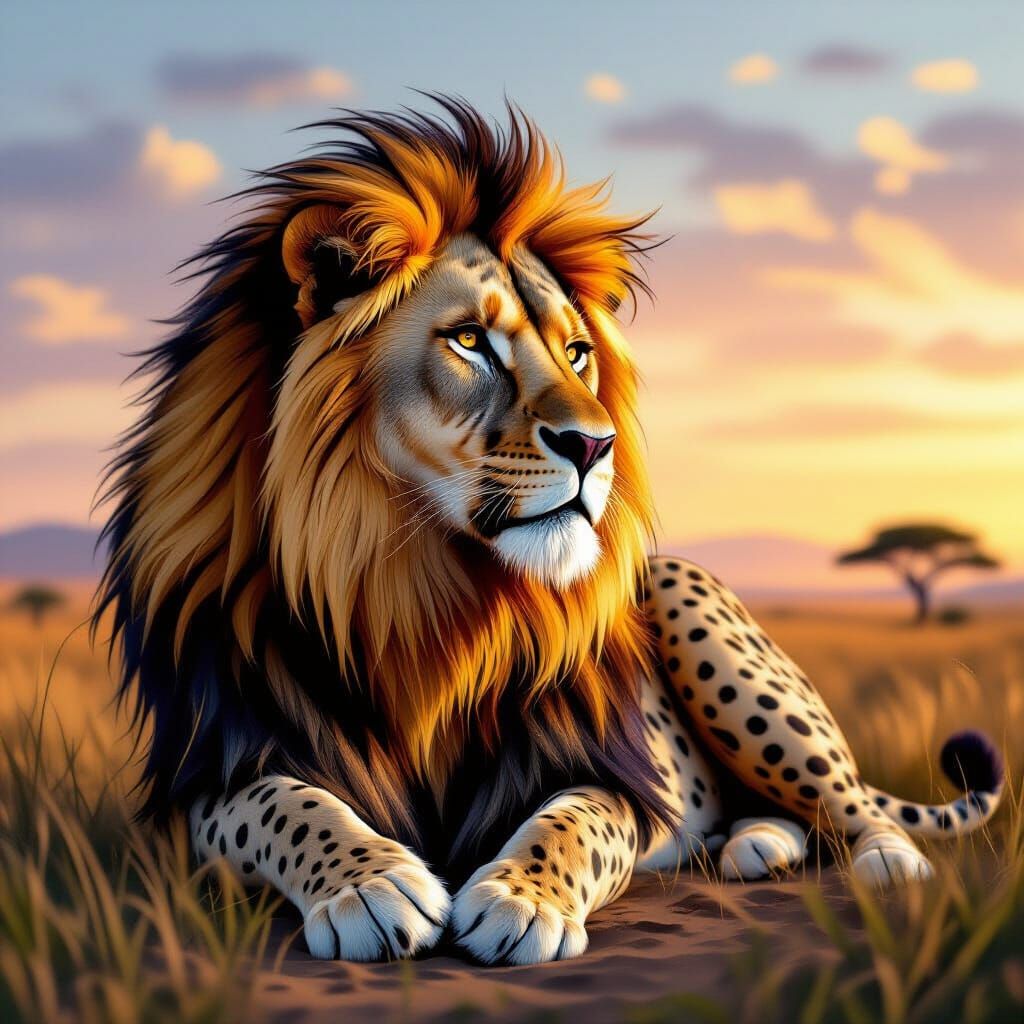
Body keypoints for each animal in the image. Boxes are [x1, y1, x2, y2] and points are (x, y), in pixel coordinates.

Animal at [97, 98, 1004, 965]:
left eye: (575, 351)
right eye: (469, 340)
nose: (595, 446)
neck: (416, 594)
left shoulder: (613, 772)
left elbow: (572, 822)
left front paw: (521, 900)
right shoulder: (216, 768)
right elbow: (286, 805)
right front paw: (370, 885)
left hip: (698, 617)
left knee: (845, 799)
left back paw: (883, 863)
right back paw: (755, 846)